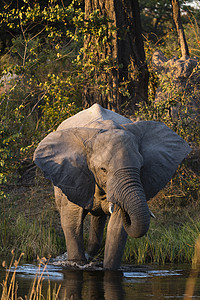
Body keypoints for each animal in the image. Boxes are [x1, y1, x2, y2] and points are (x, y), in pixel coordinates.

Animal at [33, 103, 191, 270]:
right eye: (103, 170)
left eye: (141, 167)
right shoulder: (73, 176)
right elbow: (71, 222)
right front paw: (76, 264)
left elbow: (117, 228)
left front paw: (109, 269)